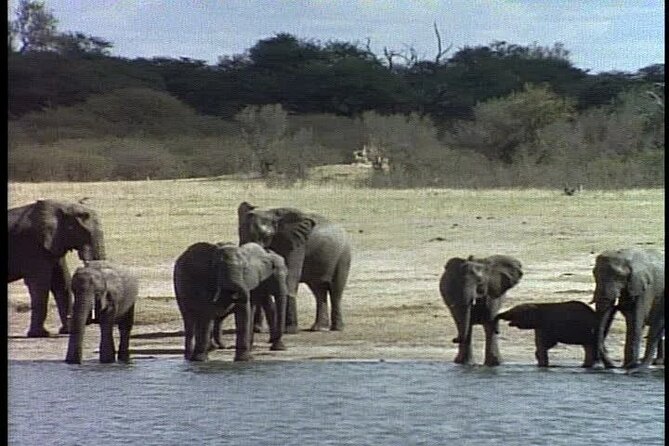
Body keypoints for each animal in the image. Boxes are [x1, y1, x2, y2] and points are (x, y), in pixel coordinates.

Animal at [8, 199, 106, 337]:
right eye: (86, 233)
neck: (64, 207)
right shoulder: (33, 245)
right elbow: (40, 284)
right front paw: (40, 334)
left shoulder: (54, 244)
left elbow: (62, 282)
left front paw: (67, 331)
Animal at [237, 202, 352, 333]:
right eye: (239, 232)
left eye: (266, 236)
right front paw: (258, 330)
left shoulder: (297, 244)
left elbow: (290, 277)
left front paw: (289, 331)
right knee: (318, 291)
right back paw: (319, 328)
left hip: (343, 256)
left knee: (336, 291)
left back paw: (337, 329)